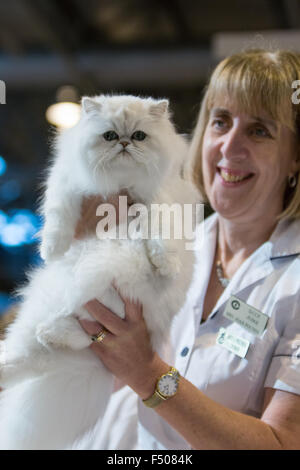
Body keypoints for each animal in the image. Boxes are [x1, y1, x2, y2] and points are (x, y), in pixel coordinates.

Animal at [0, 93, 199, 450]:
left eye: (139, 136)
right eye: (109, 135)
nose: (123, 143)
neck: (119, 182)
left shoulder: (158, 199)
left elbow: (161, 230)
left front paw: (166, 263)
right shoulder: (67, 184)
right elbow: (58, 216)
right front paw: (51, 248)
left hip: (110, 285)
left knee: (78, 330)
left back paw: (52, 332)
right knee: (31, 354)